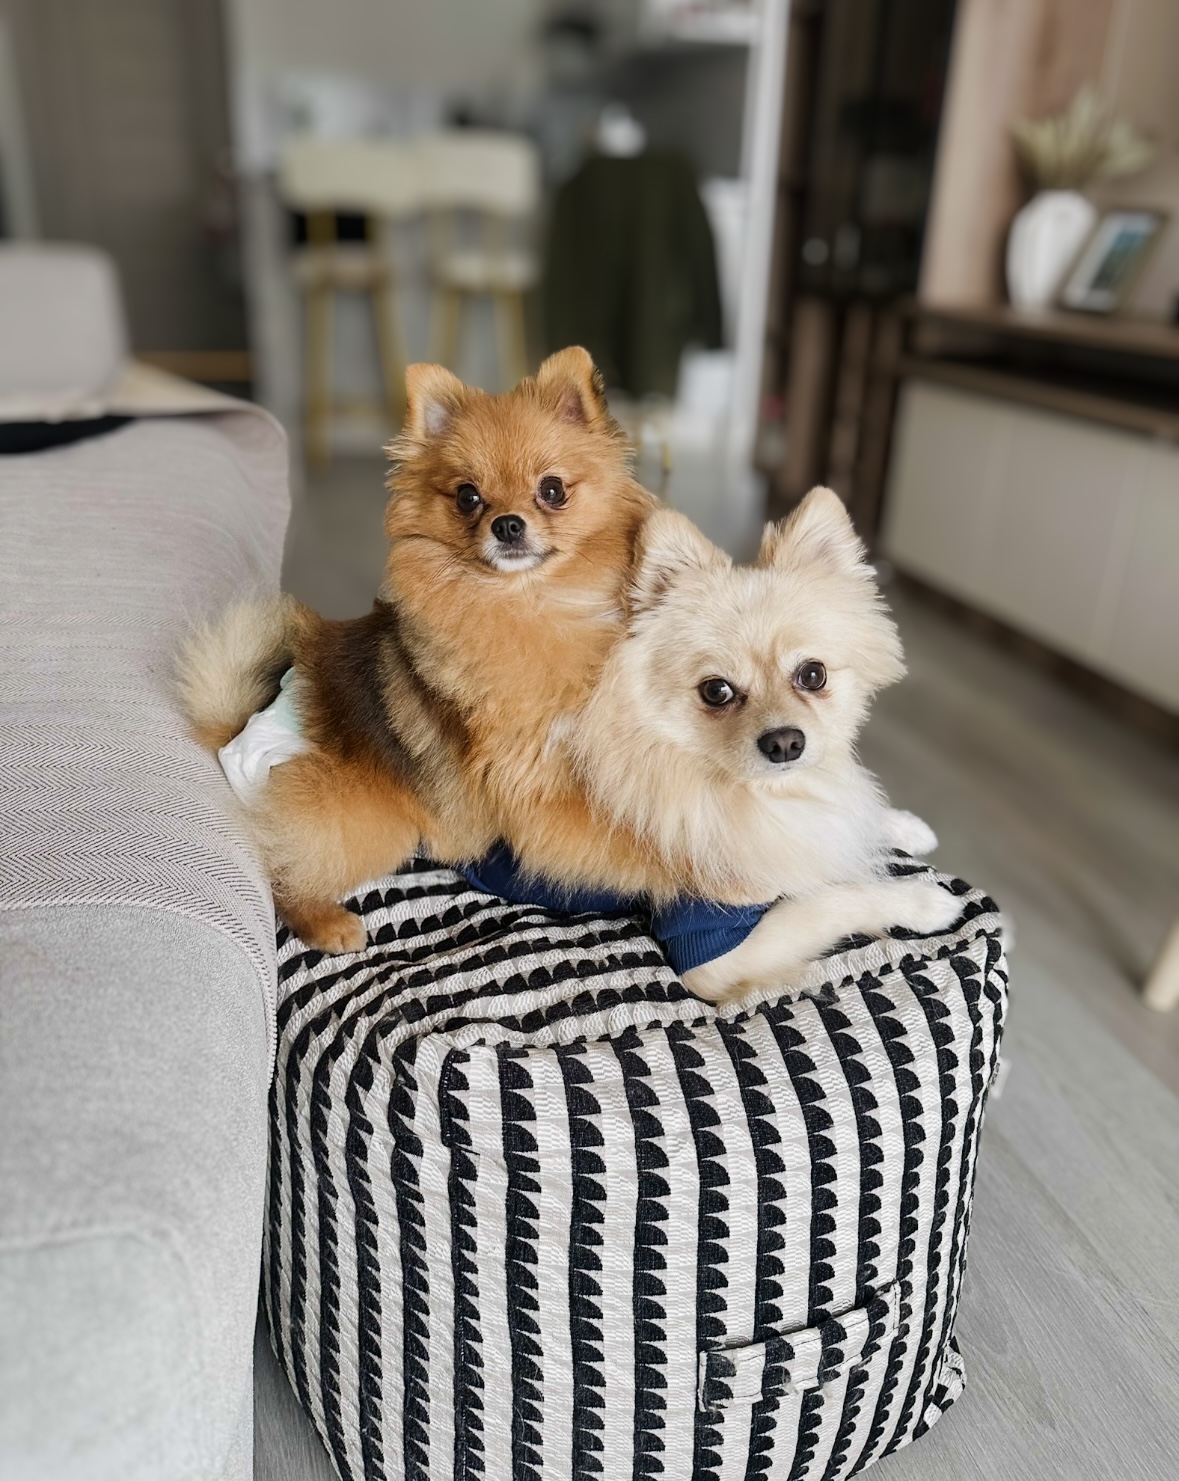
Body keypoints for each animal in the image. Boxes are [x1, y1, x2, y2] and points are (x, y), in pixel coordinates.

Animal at [177, 347, 654, 953]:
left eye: (552, 490)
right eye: (468, 497)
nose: (507, 524)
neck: (527, 606)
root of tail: (239, 727)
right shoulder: (530, 790)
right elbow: (624, 840)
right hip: (373, 820)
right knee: (286, 875)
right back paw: (327, 922)